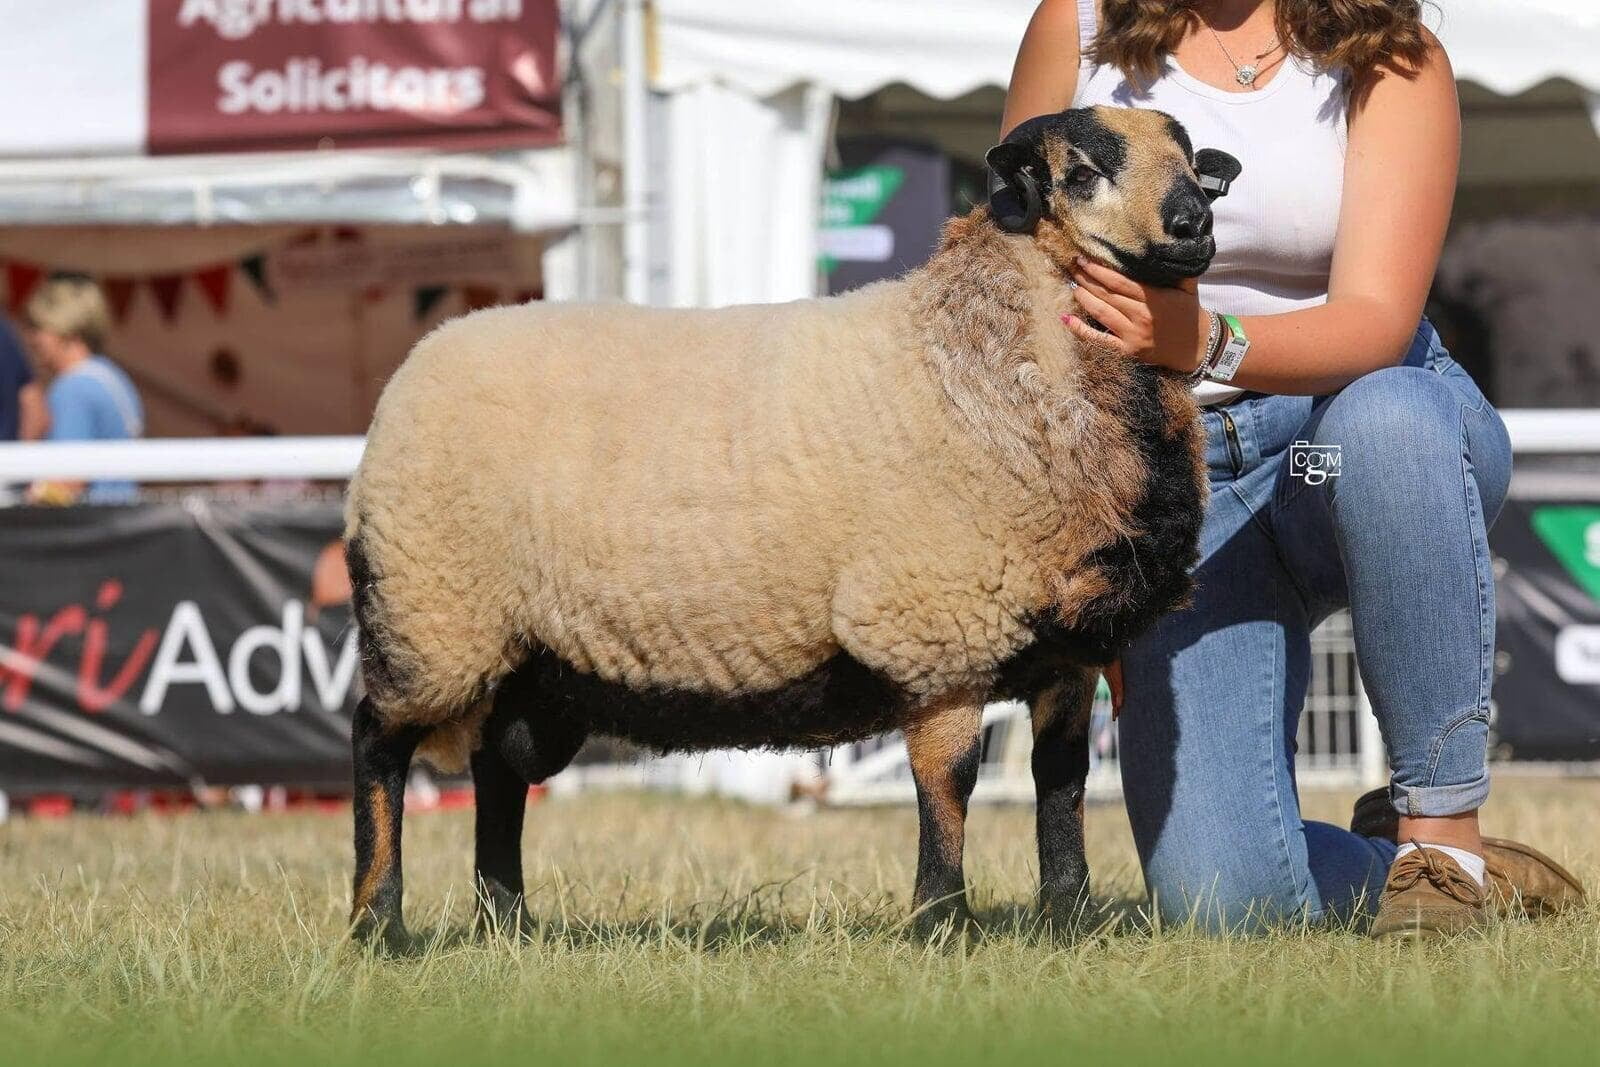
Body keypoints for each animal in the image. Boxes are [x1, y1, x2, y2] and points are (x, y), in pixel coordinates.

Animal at [343, 105, 1241, 948]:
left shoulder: (1064, 646)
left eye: (1191, 162)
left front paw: (1068, 917)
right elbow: (949, 782)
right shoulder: (938, 628)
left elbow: (1062, 780)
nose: (1193, 222)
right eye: (1082, 171)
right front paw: (942, 921)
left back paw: (509, 919)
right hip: (434, 611)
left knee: (498, 769)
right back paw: (378, 924)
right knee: (377, 743)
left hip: (523, 653)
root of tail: (410, 372)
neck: (988, 357)